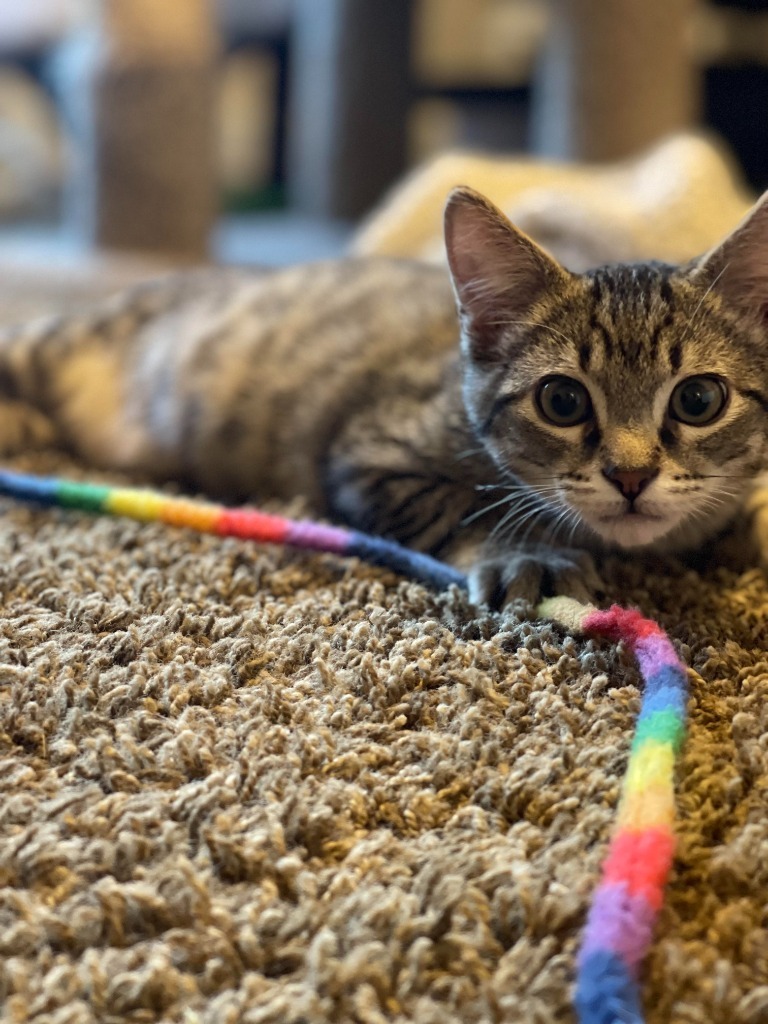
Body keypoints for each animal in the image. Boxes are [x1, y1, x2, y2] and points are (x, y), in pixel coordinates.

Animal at [1, 187, 768, 602]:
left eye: (698, 401)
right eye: (563, 402)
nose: (632, 477)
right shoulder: (366, 451)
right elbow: (461, 508)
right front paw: (528, 553)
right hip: (60, 345)